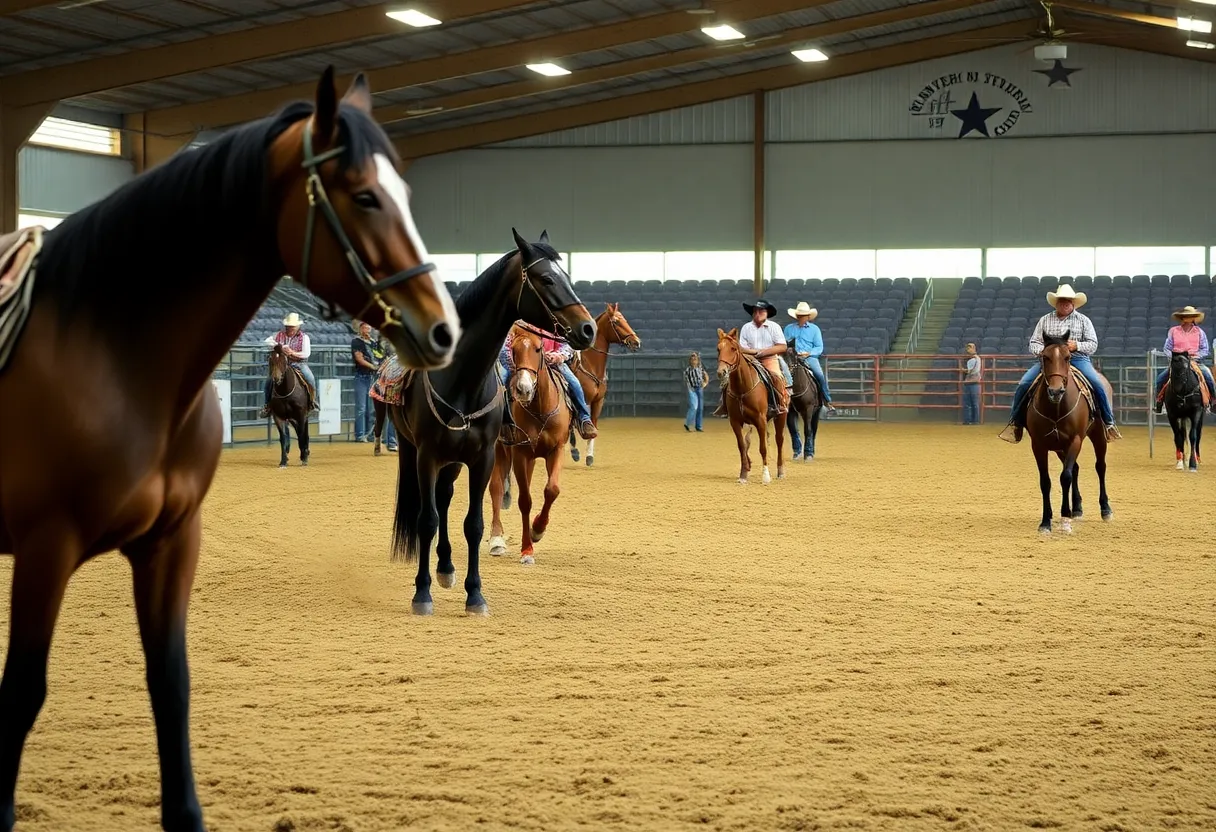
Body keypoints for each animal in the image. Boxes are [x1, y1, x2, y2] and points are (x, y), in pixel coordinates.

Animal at [0, 66, 458, 832]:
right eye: (364, 194)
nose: (443, 328)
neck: (114, 354)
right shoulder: (45, 546)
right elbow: (22, 693)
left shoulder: (171, 540)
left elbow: (171, 680)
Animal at [379, 228, 596, 616]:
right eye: (546, 279)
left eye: (567, 277)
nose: (587, 328)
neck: (462, 379)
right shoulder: (427, 455)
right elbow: (426, 520)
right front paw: (422, 594)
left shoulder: (483, 457)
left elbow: (474, 524)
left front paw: (475, 595)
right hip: (414, 450)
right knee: (432, 506)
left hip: (454, 460)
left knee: (445, 497)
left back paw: (447, 568)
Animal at [566, 302, 641, 467]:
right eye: (616, 322)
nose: (636, 342)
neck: (590, 365)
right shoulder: (579, 400)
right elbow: (574, 424)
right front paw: (575, 452)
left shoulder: (598, 401)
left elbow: (592, 425)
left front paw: (589, 457)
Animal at [715, 327, 787, 484]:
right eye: (718, 349)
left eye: (733, 348)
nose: (721, 372)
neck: (743, 388)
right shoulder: (735, 421)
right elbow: (742, 446)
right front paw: (743, 474)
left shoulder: (760, 420)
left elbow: (762, 448)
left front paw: (765, 476)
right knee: (748, 441)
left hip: (781, 416)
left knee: (779, 440)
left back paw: (780, 472)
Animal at [1025, 331, 1113, 535]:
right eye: (1045, 357)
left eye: (1067, 357)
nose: (1056, 391)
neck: (1056, 408)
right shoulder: (1039, 445)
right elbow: (1046, 482)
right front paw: (1046, 521)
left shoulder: (1075, 441)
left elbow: (1065, 477)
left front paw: (1065, 518)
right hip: (1059, 448)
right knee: (1076, 468)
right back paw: (1077, 508)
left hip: (1098, 436)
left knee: (1100, 467)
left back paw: (1105, 509)